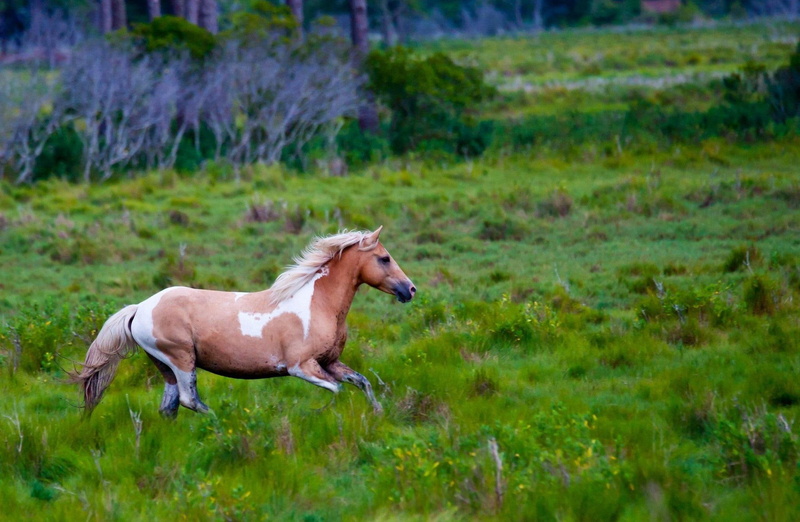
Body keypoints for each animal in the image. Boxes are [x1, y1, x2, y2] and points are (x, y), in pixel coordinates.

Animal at [75, 227, 416, 417]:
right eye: (384, 258)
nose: (410, 289)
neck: (317, 303)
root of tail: (141, 308)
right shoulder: (300, 366)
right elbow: (336, 391)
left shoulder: (330, 362)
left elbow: (362, 382)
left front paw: (378, 413)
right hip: (181, 359)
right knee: (189, 400)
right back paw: (223, 424)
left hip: (164, 366)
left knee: (169, 407)